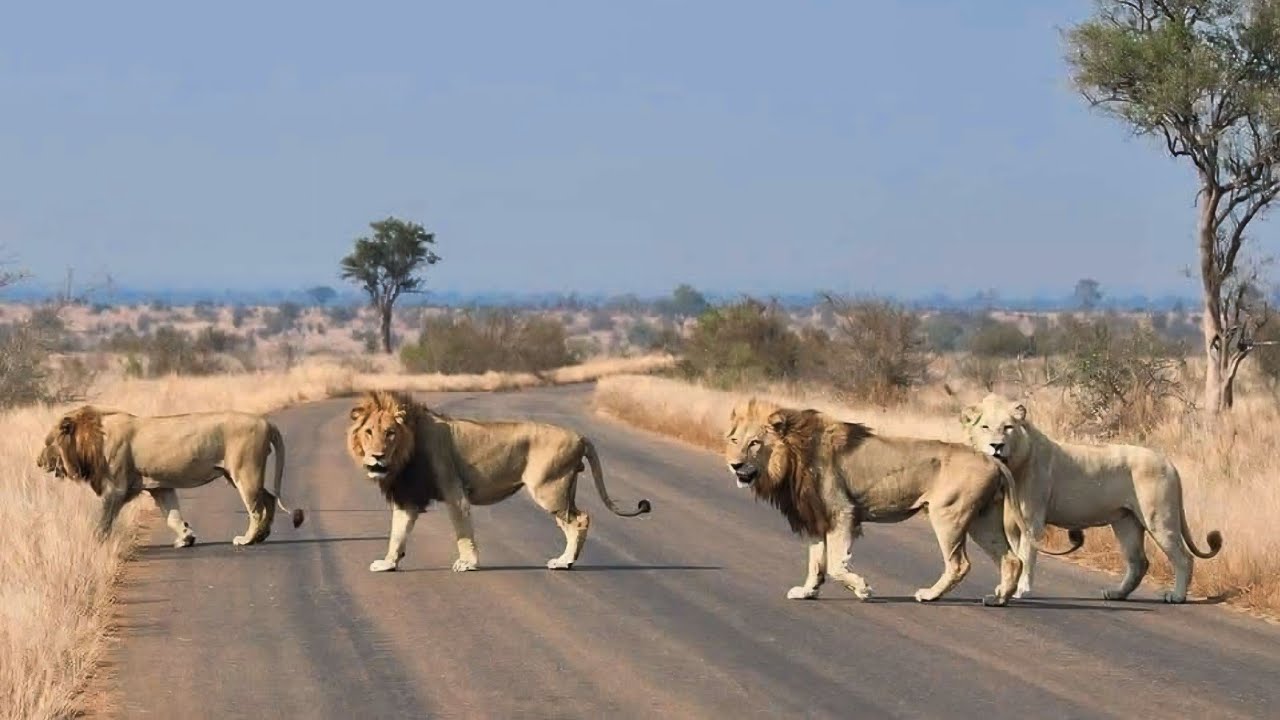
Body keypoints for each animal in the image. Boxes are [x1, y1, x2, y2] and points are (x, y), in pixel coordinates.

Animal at [37, 405, 305, 547]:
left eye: (48, 443)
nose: (38, 462)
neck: (92, 438)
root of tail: (266, 423)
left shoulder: (116, 488)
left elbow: (103, 518)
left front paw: (96, 541)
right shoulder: (159, 486)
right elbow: (172, 515)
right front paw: (186, 538)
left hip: (244, 471)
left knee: (256, 507)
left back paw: (247, 539)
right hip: (238, 474)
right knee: (268, 498)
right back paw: (261, 536)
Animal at [346, 390, 652, 573]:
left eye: (390, 433)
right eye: (369, 432)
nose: (377, 457)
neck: (407, 450)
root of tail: (579, 435)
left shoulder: (454, 490)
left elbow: (463, 531)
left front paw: (467, 563)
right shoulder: (407, 496)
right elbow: (397, 533)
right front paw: (388, 563)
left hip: (548, 489)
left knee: (580, 520)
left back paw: (564, 562)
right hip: (563, 489)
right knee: (575, 520)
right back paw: (567, 560)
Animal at [724, 398, 1074, 606]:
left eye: (755, 444)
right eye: (734, 440)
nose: (734, 465)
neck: (792, 454)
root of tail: (992, 459)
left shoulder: (842, 512)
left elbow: (836, 564)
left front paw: (863, 589)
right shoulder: (815, 515)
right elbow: (816, 561)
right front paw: (807, 591)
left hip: (949, 515)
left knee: (960, 564)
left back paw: (929, 595)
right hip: (982, 520)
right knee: (1011, 559)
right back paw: (999, 598)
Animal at [960, 393, 1222, 603]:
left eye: (1008, 427)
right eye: (985, 427)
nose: (996, 446)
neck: (1013, 465)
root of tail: (1168, 462)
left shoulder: (1032, 522)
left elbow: (1026, 555)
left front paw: (1020, 590)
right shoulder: (1013, 526)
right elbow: (1016, 555)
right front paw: (1008, 587)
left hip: (1158, 518)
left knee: (1184, 558)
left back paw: (1176, 596)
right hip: (1126, 521)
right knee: (1139, 561)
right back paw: (1116, 594)